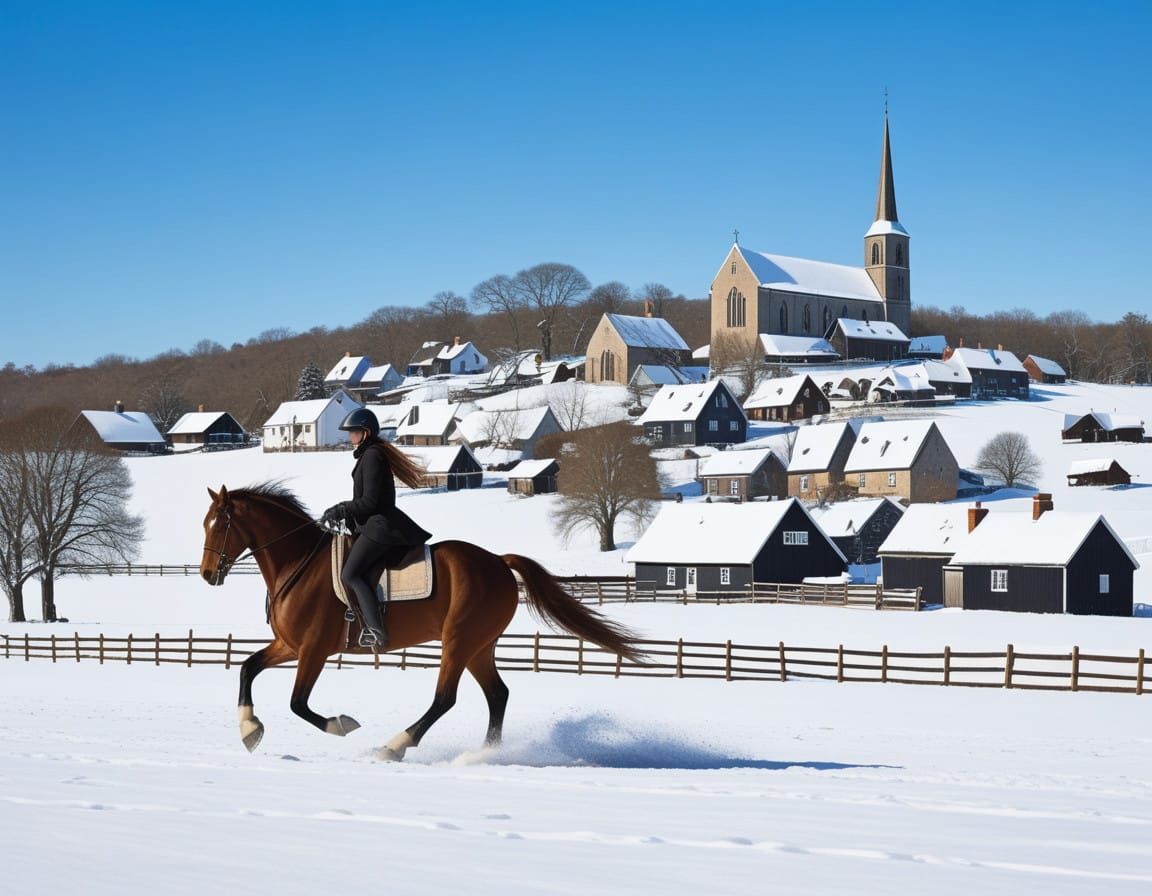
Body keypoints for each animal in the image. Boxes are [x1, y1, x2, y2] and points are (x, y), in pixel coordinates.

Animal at [199, 483, 644, 761]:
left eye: (220, 525)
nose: (206, 575)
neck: (298, 563)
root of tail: (498, 562)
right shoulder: (290, 645)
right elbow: (247, 668)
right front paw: (249, 730)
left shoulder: (313, 649)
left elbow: (298, 703)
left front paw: (342, 725)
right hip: (479, 646)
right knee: (497, 695)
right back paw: (485, 754)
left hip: (459, 640)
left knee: (445, 698)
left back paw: (394, 746)